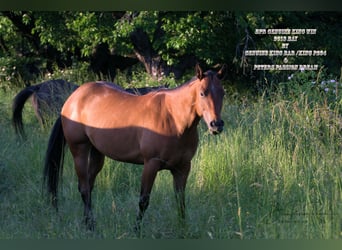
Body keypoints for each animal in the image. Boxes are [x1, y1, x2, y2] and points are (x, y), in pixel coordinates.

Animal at [44, 63, 226, 231]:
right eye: (202, 93)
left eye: (222, 93)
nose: (216, 125)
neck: (173, 119)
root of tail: (73, 98)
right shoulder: (151, 164)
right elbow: (143, 201)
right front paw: (136, 230)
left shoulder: (183, 167)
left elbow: (180, 201)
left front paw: (183, 229)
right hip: (79, 151)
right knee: (84, 188)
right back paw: (90, 226)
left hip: (97, 154)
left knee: (89, 186)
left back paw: (87, 222)